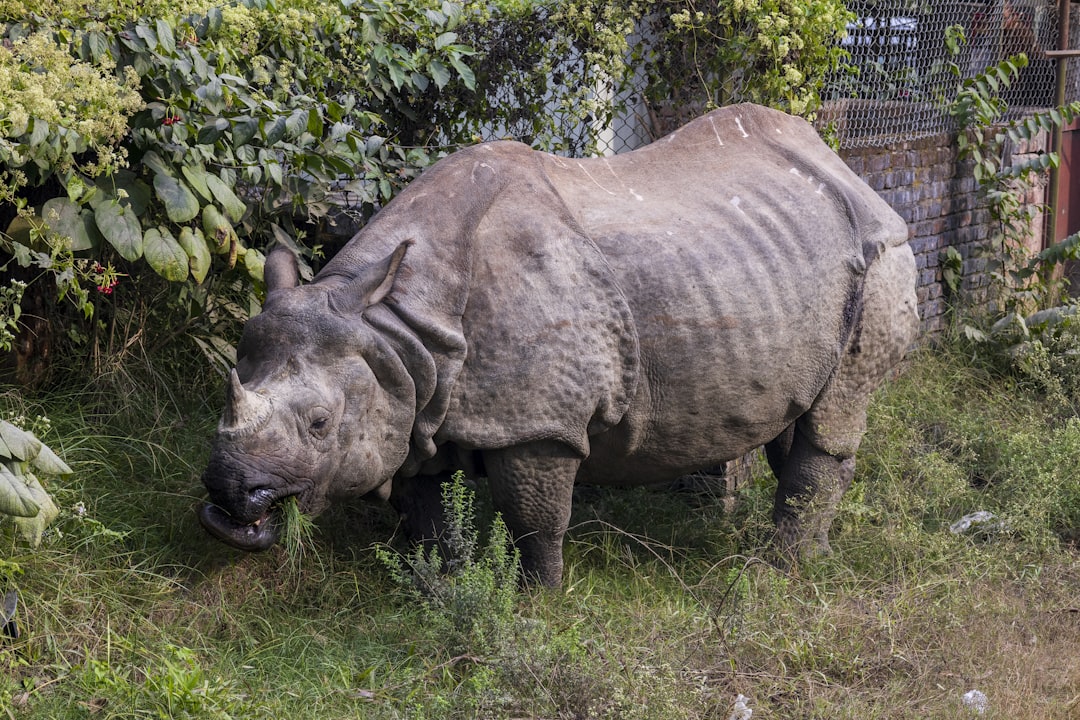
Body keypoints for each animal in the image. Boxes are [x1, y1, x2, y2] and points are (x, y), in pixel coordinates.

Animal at [198, 103, 919, 586]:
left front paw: (533, 597)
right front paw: (441, 577)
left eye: (321, 424)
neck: (397, 320)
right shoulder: (411, 388)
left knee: (833, 417)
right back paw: (808, 553)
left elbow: (533, 516)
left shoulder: (539, 422)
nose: (231, 501)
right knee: (800, 412)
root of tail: (845, 168)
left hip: (884, 257)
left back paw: (780, 570)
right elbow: (424, 503)